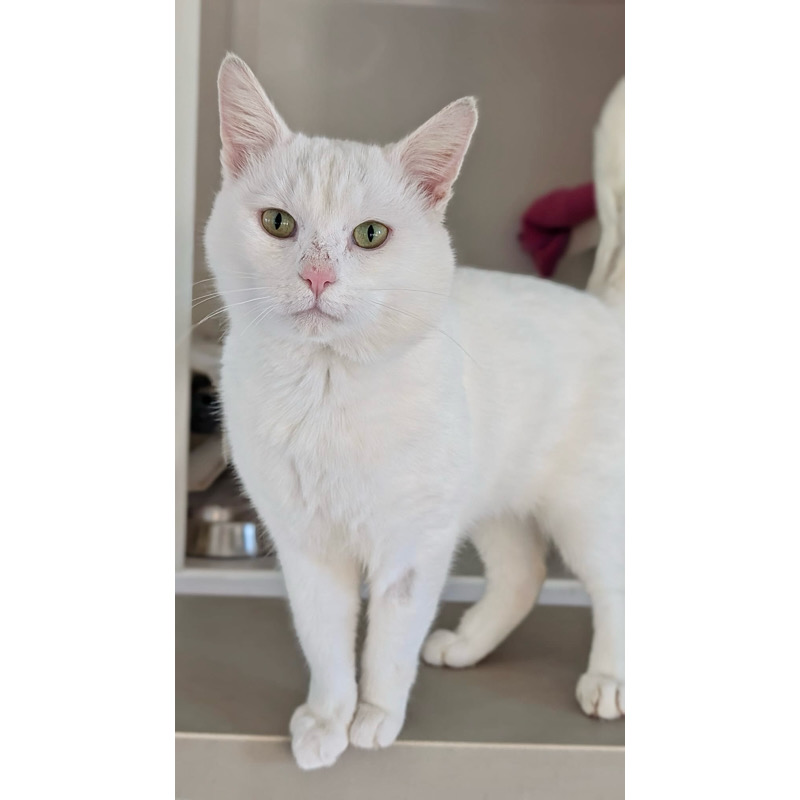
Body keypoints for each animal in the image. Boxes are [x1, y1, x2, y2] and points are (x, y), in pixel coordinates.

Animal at [205, 54, 624, 768]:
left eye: (370, 235)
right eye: (278, 223)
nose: (318, 277)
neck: (326, 390)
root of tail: (602, 307)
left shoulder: (412, 548)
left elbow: (388, 642)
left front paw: (375, 717)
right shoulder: (307, 547)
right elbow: (324, 641)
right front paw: (327, 721)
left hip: (585, 510)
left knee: (617, 586)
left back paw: (609, 680)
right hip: (489, 502)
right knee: (526, 573)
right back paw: (465, 645)